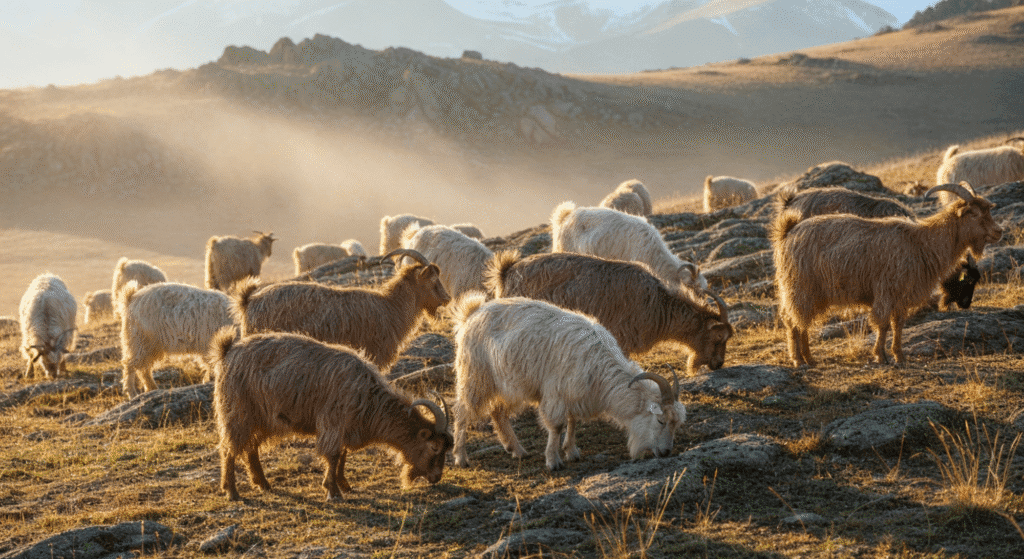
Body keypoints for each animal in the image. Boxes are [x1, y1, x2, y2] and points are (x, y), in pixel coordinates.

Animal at [211, 329, 452, 501]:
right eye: (434, 447)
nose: (436, 477)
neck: (368, 398)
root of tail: (227, 350)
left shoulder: (346, 428)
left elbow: (342, 456)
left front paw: (345, 484)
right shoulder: (333, 424)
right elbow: (333, 455)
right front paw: (333, 491)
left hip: (263, 419)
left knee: (250, 448)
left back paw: (263, 484)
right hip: (237, 413)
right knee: (229, 449)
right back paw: (232, 492)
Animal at [451, 295, 686, 470]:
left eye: (676, 424)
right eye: (660, 421)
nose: (666, 452)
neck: (599, 365)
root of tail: (472, 312)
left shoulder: (575, 394)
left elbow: (573, 422)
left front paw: (571, 452)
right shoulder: (556, 393)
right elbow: (556, 426)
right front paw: (553, 461)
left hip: (511, 385)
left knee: (498, 412)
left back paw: (517, 450)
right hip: (476, 377)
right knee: (462, 412)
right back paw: (461, 457)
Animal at [771, 181, 1002, 367]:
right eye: (974, 213)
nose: (998, 232)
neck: (922, 242)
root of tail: (787, 232)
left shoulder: (901, 296)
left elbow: (898, 325)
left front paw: (899, 356)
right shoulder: (886, 291)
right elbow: (882, 325)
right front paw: (881, 356)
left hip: (806, 291)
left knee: (798, 321)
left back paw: (809, 359)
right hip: (800, 287)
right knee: (794, 322)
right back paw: (800, 360)